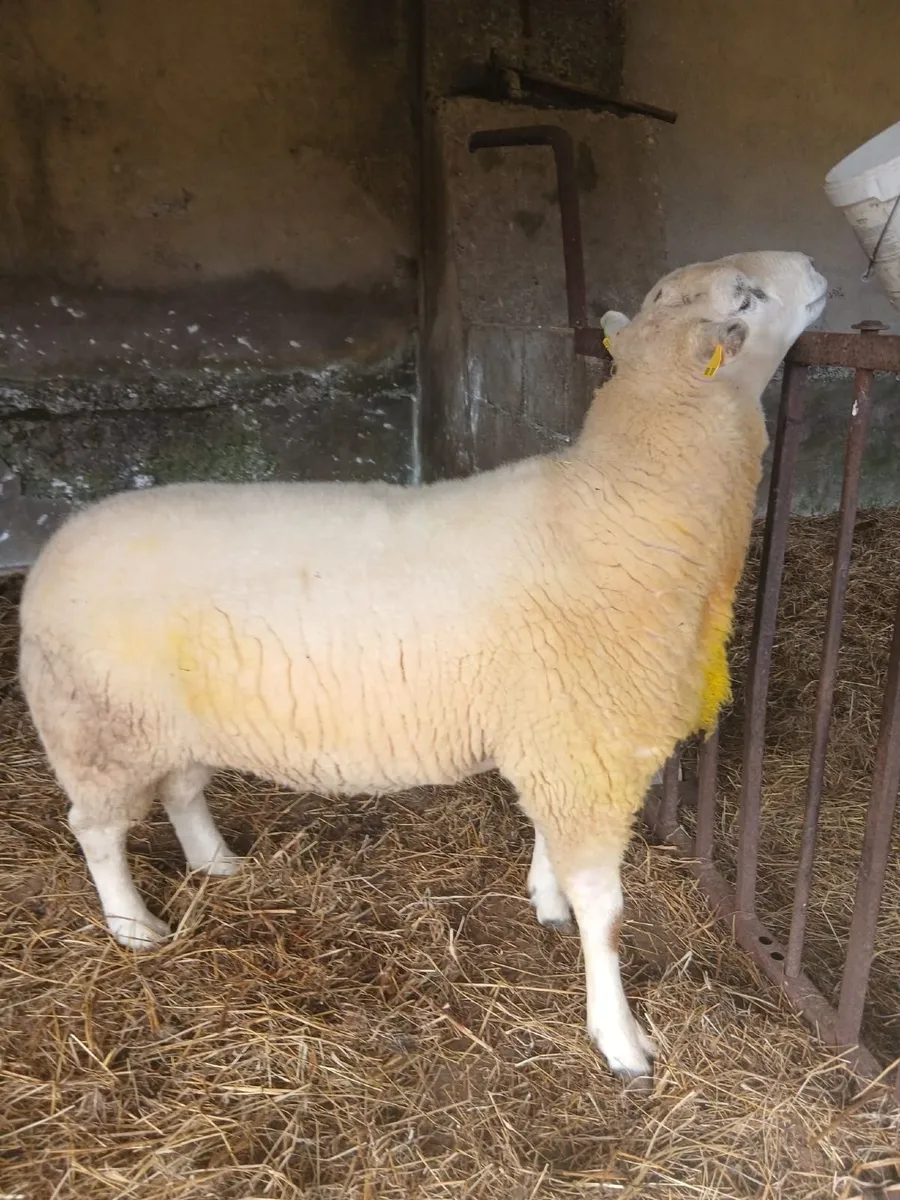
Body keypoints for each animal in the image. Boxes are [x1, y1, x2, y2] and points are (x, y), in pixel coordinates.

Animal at [18, 250, 827, 1083]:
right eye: (746, 297)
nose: (811, 263)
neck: (625, 502)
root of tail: (51, 555)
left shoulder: (557, 735)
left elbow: (550, 843)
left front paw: (546, 900)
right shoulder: (586, 742)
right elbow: (605, 913)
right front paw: (620, 1038)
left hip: (171, 721)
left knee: (180, 791)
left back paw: (217, 863)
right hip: (99, 727)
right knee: (96, 831)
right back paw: (133, 925)